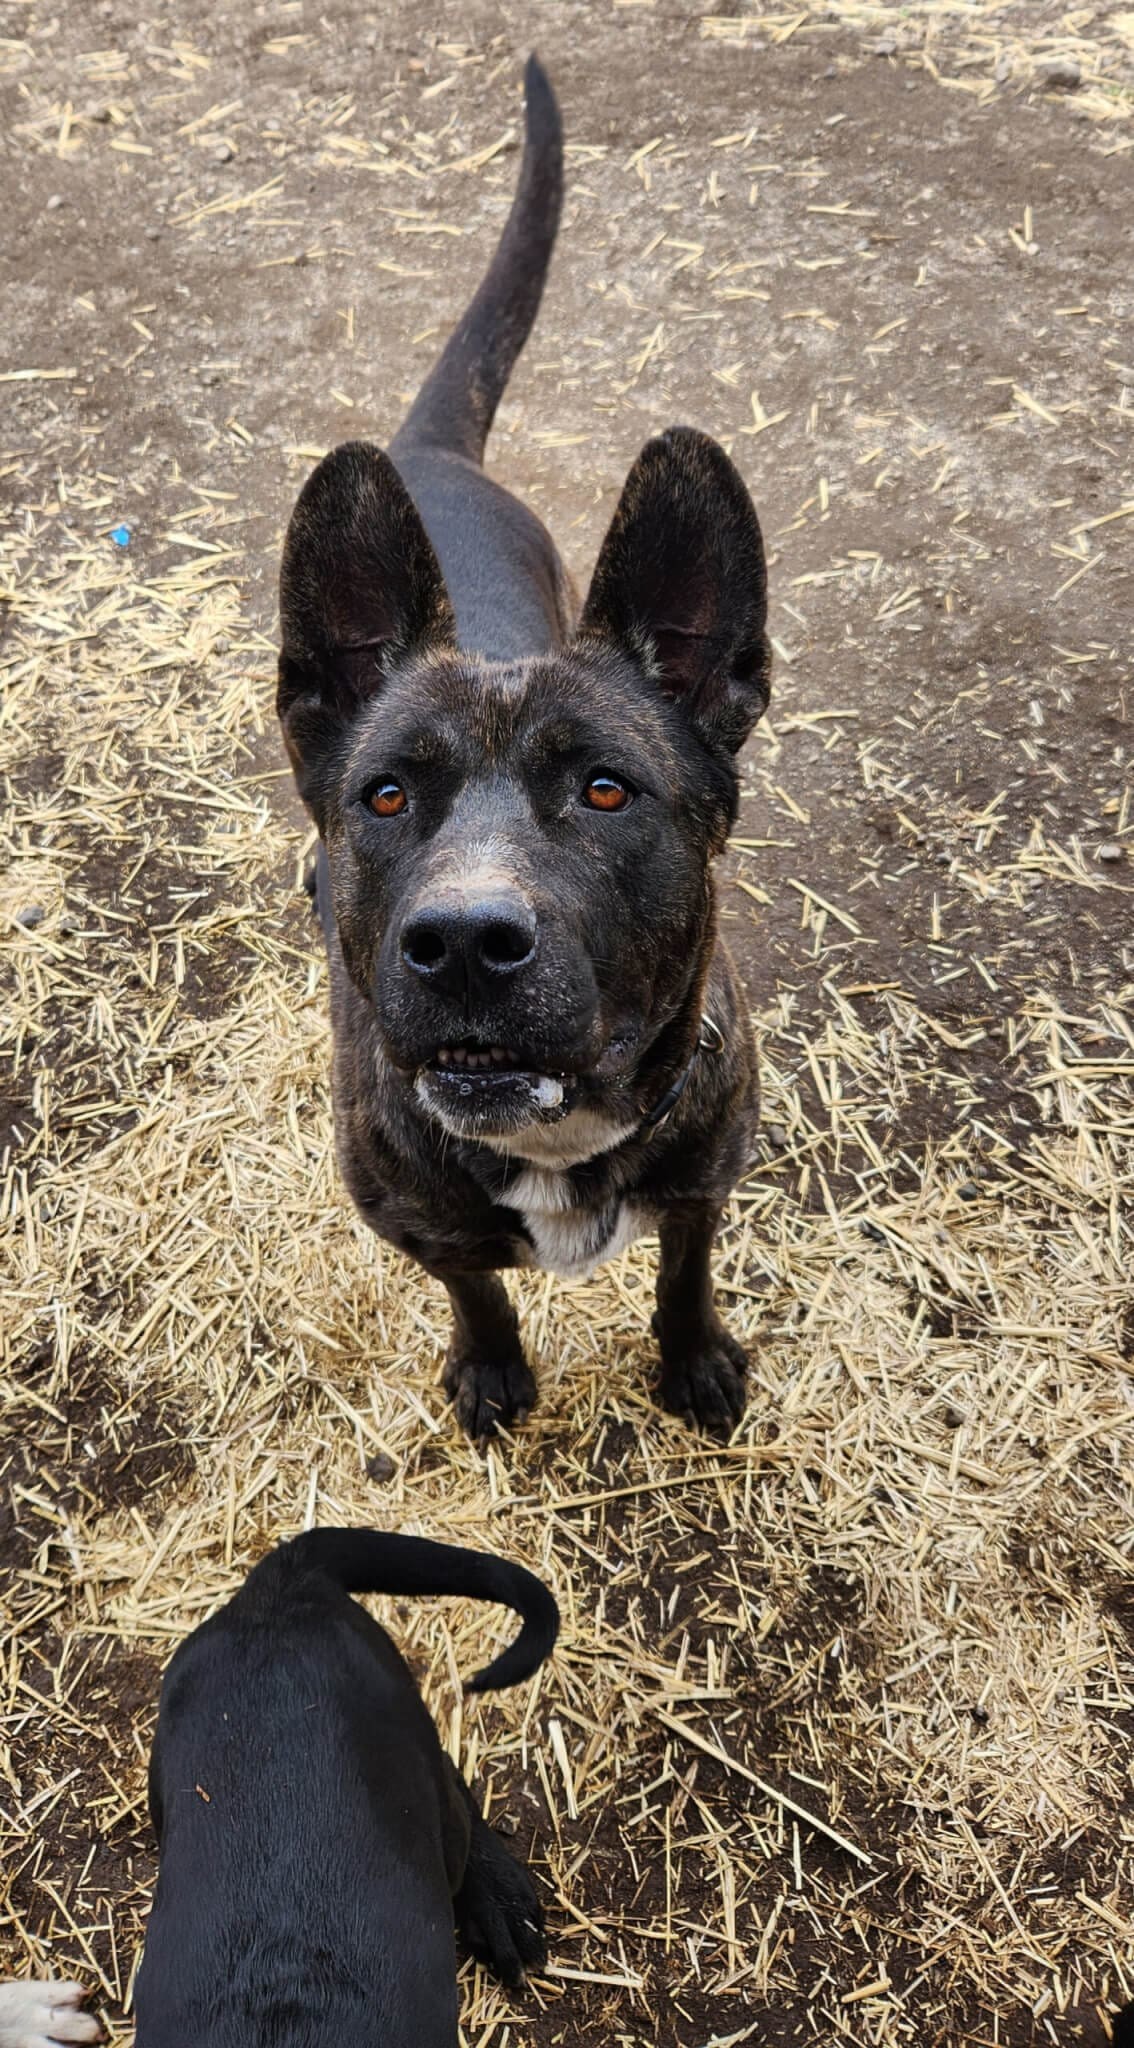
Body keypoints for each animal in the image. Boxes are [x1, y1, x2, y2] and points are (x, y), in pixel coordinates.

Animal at [276, 59, 769, 1441]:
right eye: (387, 796)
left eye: (606, 789)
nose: (459, 941)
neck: (553, 1145)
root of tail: (429, 450)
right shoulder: (412, 1218)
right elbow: (475, 1285)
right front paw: (494, 1367)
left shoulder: (710, 1174)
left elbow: (684, 1269)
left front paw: (693, 1358)